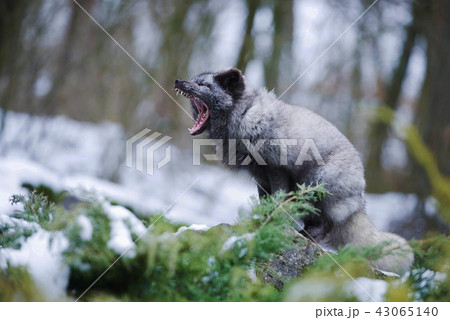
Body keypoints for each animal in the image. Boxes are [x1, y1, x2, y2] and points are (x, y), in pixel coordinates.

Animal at [174, 67, 414, 276]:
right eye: (193, 79)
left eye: (202, 85)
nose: (177, 81)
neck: (243, 115)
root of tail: (360, 201)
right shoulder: (260, 177)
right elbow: (265, 202)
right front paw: (263, 222)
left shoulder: (277, 169)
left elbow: (278, 201)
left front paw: (274, 223)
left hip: (315, 182)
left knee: (327, 224)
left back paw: (306, 235)